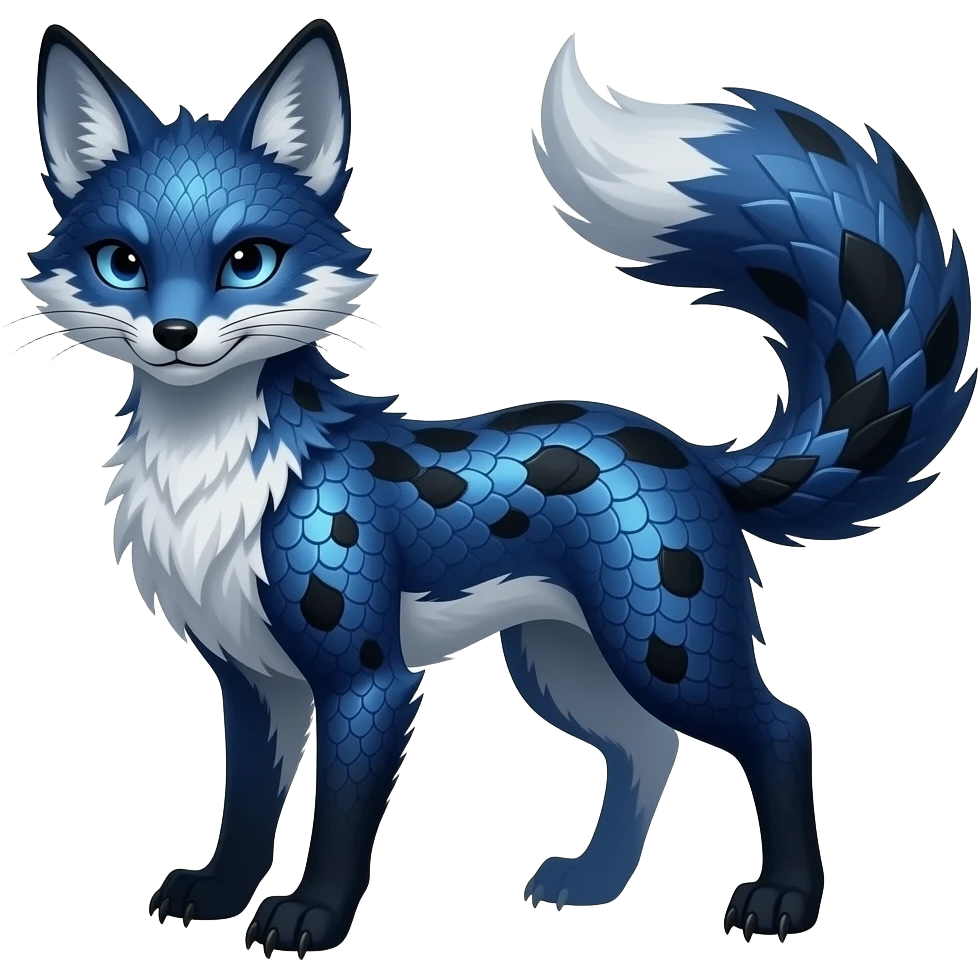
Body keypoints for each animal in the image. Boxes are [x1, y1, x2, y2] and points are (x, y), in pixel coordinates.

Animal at [15, 17, 974, 957]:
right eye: (120, 262)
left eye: (247, 261)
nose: (173, 333)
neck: (213, 476)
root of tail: (687, 449)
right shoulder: (250, 677)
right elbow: (245, 809)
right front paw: (218, 896)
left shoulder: (367, 679)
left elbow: (338, 822)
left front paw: (311, 917)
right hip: (561, 664)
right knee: (646, 745)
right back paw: (592, 884)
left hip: (662, 647)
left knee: (778, 729)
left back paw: (784, 899)